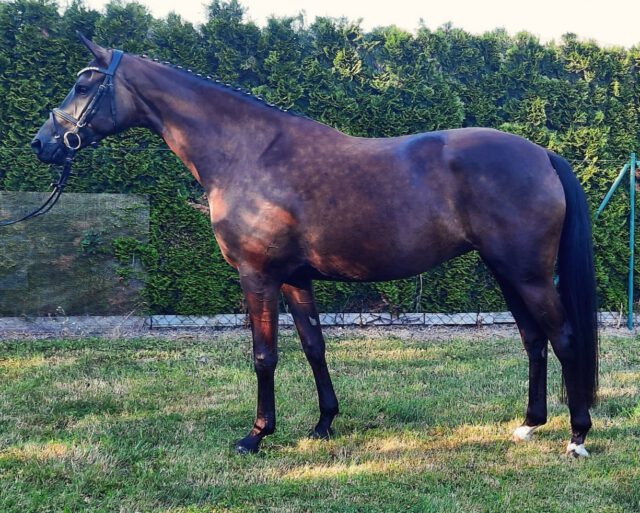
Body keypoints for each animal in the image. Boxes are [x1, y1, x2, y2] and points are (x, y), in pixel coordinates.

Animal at [31, 33, 598, 457]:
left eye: (82, 84)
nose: (42, 144)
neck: (250, 153)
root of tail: (542, 154)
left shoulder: (258, 276)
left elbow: (264, 355)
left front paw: (256, 436)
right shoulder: (295, 279)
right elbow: (313, 347)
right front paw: (324, 423)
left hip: (526, 274)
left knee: (565, 338)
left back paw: (576, 436)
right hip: (506, 272)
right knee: (533, 340)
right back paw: (530, 424)